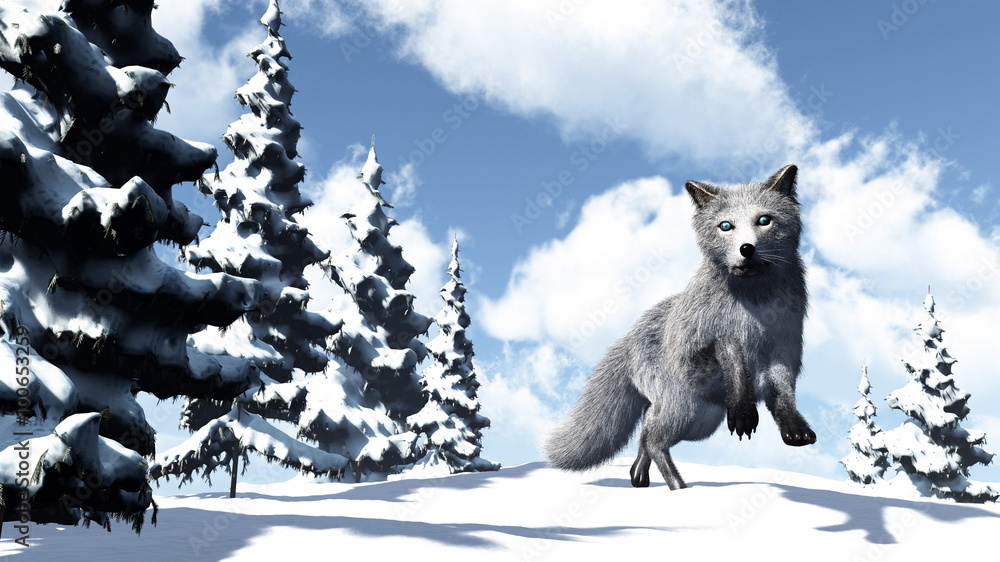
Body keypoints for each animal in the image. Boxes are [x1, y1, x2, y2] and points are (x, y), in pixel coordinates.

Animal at [545, 164, 815, 490]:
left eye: (764, 220)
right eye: (726, 226)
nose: (746, 249)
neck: (754, 312)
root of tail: (628, 337)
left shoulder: (782, 355)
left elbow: (783, 395)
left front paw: (794, 426)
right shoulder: (693, 360)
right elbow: (728, 345)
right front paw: (743, 408)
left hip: (701, 420)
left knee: (647, 431)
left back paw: (639, 476)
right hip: (687, 411)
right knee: (654, 440)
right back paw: (678, 488)